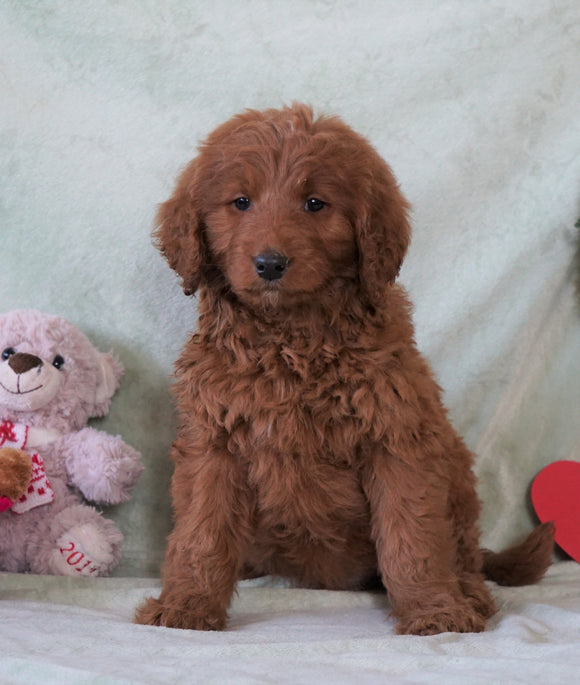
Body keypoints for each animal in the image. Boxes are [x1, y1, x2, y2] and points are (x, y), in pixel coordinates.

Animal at [137, 104, 552, 632]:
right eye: (241, 202)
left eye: (315, 203)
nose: (269, 263)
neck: (290, 340)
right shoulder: (213, 443)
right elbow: (201, 534)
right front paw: (187, 605)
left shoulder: (397, 441)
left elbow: (413, 539)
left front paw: (434, 609)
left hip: (456, 470)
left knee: (464, 553)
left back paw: (471, 593)